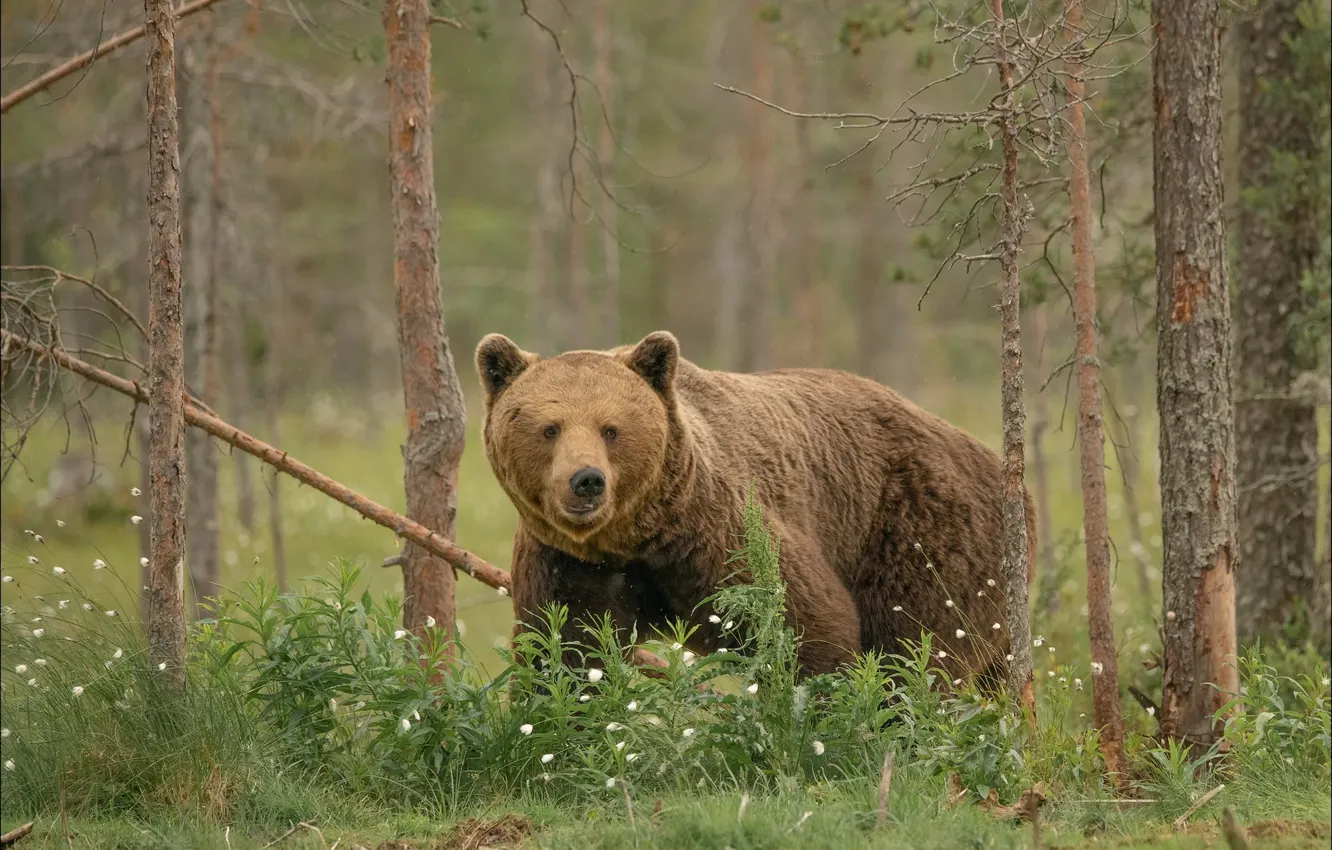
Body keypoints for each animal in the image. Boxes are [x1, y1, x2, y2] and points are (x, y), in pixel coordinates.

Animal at [475, 330, 1035, 682]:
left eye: (611, 428)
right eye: (550, 428)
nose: (586, 481)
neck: (635, 537)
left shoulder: (720, 534)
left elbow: (806, 620)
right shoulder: (570, 562)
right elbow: (566, 647)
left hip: (919, 527)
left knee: (920, 643)